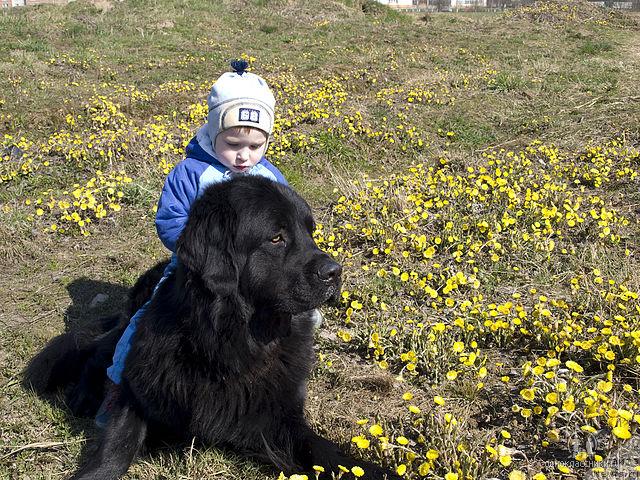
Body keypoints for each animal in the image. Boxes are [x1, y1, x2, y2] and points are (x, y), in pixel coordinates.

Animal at [28, 176, 400, 480]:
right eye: (276, 238)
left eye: (311, 233)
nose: (335, 272)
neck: (228, 344)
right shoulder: (141, 389)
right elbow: (116, 449)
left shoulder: (278, 417)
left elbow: (327, 452)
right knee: (97, 350)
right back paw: (84, 393)